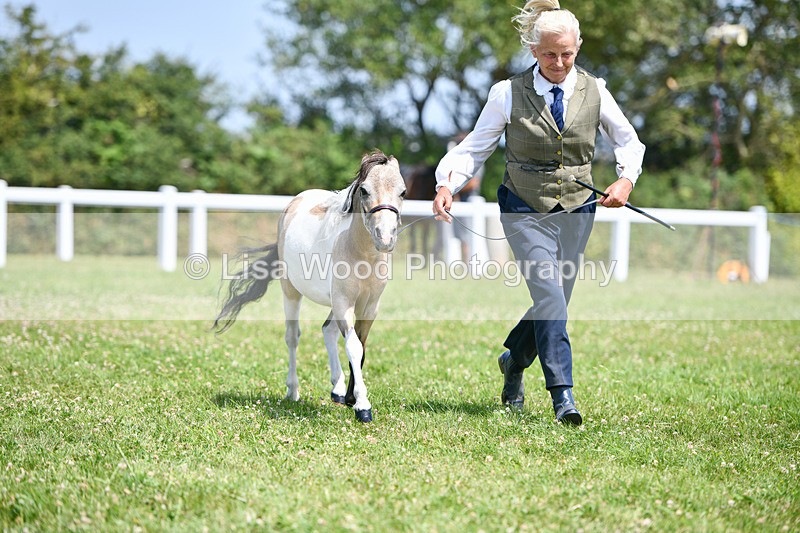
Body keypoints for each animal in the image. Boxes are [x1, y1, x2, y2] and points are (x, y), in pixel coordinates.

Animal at [213, 150, 406, 423]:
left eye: (403, 192)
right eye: (365, 190)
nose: (385, 238)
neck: (360, 252)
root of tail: (295, 201)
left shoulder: (369, 307)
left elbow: (361, 347)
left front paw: (351, 398)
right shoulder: (344, 303)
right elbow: (354, 348)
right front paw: (362, 405)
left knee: (328, 330)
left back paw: (338, 390)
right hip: (292, 293)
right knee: (293, 337)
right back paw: (293, 391)